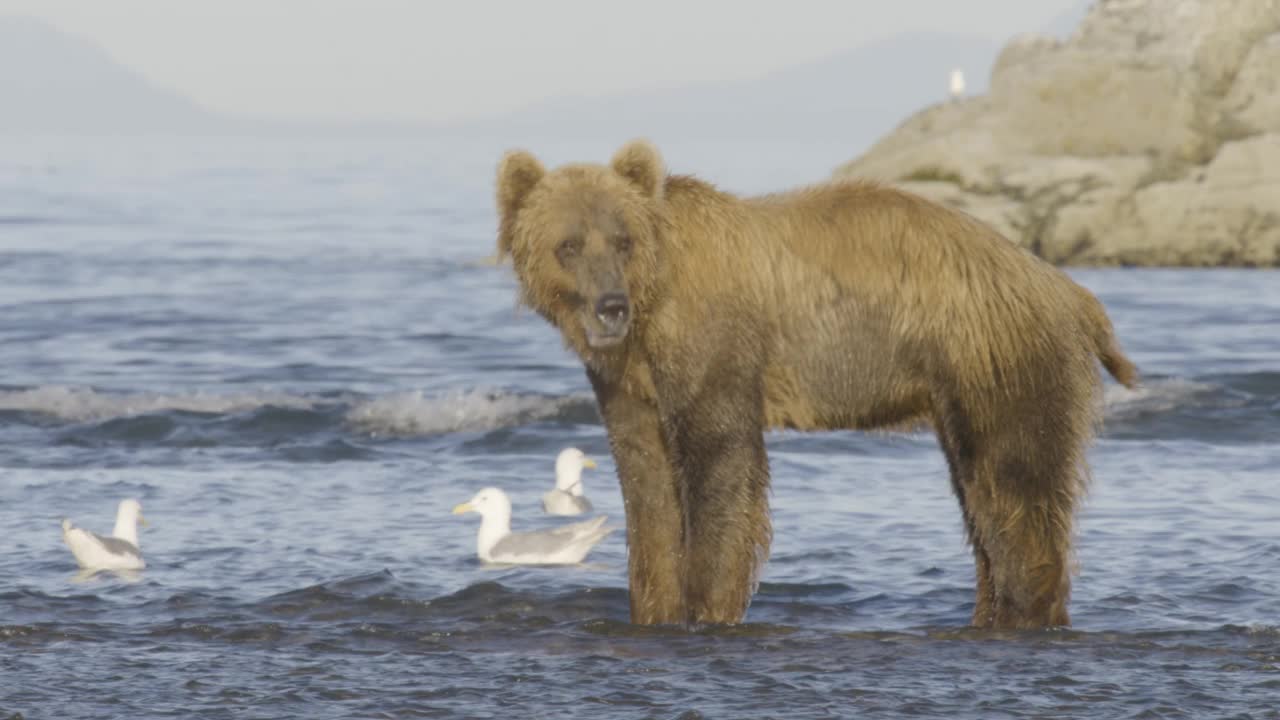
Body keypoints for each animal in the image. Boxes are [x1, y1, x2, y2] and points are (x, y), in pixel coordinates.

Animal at [491, 139, 1141, 627]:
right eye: (569, 244)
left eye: (621, 239)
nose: (610, 307)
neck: (654, 309)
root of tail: (1066, 288)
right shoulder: (629, 381)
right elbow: (646, 484)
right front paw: (654, 606)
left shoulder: (715, 345)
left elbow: (720, 463)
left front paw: (709, 606)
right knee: (983, 498)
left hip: (995, 359)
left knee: (1014, 485)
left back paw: (1027, 610)